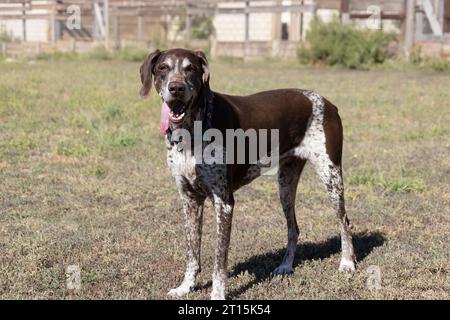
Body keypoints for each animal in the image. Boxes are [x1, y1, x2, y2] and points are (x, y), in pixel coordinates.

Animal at [139, 48, 356, 300]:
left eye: (190, 68)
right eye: (163, 68)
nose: (176, 88)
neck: (192, 130)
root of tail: (328, 103)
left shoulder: (223, 203)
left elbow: (219, 261)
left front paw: (217, 295)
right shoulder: (190, 200)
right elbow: (192, 252)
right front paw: (186, 286)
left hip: (331, 177)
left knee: (344, 221)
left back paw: (347, 263)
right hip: (286, 183)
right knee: (293, 228)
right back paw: (285, 266)